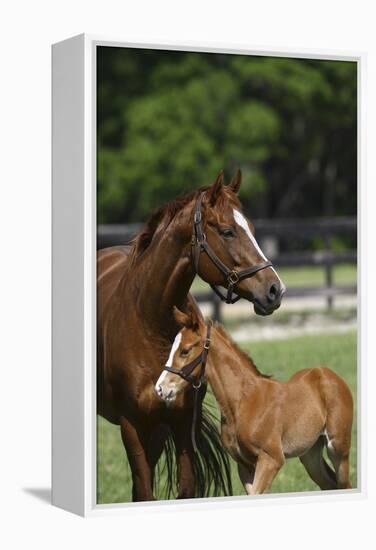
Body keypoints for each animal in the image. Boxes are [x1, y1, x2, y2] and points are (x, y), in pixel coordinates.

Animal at [155, 306, 352, 496]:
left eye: (185, 351)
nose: (160, 388)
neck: (243, 402)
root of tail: (327, 374)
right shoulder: (244, 465)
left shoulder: (271, 459)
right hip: (310, 454)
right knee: (330, 484)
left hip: (338, 448)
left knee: (344, 484)